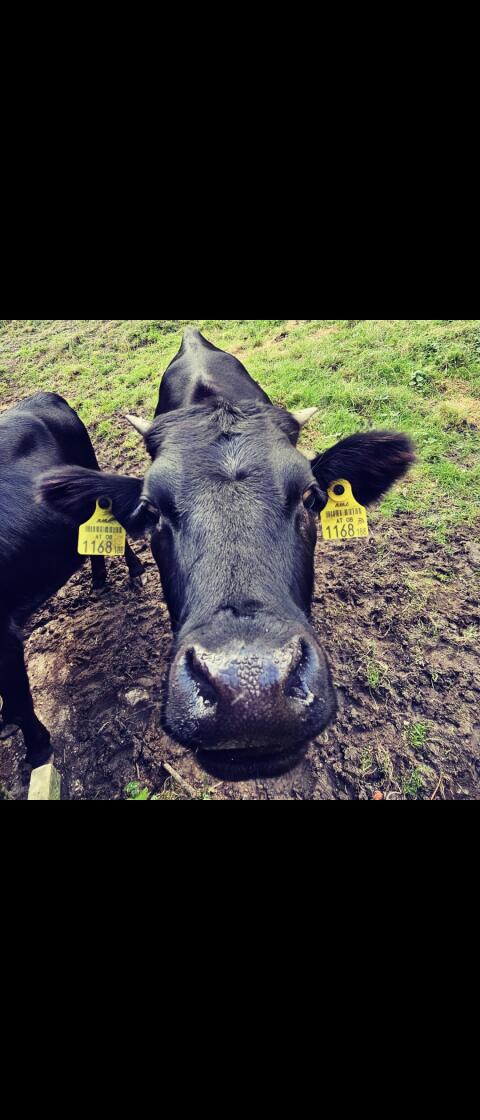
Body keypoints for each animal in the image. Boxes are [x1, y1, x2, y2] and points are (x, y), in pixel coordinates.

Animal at [0, 393, 144, 768]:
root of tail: (44, 396)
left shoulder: (5, 635)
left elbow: (21, 702)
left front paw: (38, 750)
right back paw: (99, 579)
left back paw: (135, 571)